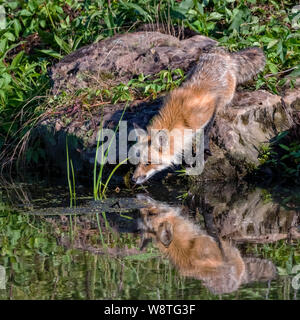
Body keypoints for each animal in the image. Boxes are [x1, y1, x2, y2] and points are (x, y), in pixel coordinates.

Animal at [132, 46, 264, 184]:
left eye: (148, 163)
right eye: (138, 161)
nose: (133, 179)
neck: (179, 116)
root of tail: (222, 53)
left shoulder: (209, 112)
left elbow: (205, 134)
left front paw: (203, 153)